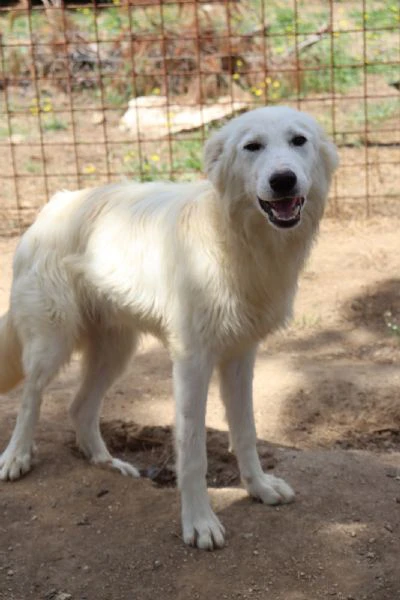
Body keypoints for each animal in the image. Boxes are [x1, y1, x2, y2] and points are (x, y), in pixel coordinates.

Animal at [0, 106, 338, 548]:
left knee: (79, 407)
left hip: (114, 354)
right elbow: (193, 451)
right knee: (31, 397)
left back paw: (109, 464)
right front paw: (199, 523)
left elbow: (245, 432)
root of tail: (56, 201)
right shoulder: (193, 362)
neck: (235, 241)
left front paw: (259, 488)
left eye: (299, 140)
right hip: (52, 343)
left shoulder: (240, 357)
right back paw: (17, 457)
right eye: (252, 147)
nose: (283, 179)